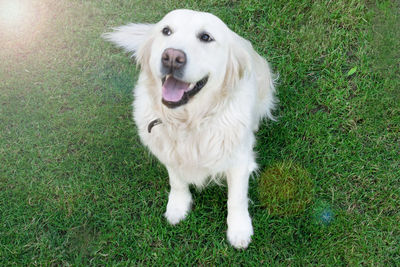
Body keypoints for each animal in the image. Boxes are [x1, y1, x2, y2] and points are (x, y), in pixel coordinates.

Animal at [104, 8, 276, 251]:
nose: (172, 57)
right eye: (166, 31)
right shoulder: (167, 151)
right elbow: (176, 181)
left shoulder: (240, 160)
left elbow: (237, 198)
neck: (188, 122)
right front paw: (178, 206)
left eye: (205, 37)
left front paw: (239, 229)